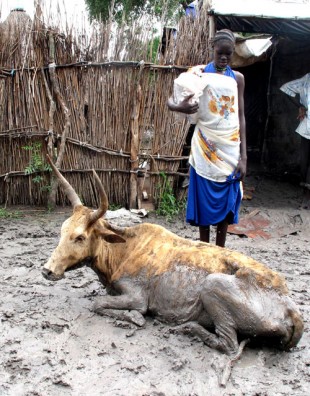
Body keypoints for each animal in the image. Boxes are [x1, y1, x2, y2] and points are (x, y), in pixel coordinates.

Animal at [42, 156, 304, 358]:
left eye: (80, 237)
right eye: (62, 230)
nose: (47, 270)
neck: (122, 251)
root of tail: (290, 306)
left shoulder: (137, 297)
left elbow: (102, 305)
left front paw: (136, 318)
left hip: (213, 285)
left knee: (229, 345)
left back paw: (188, 328)